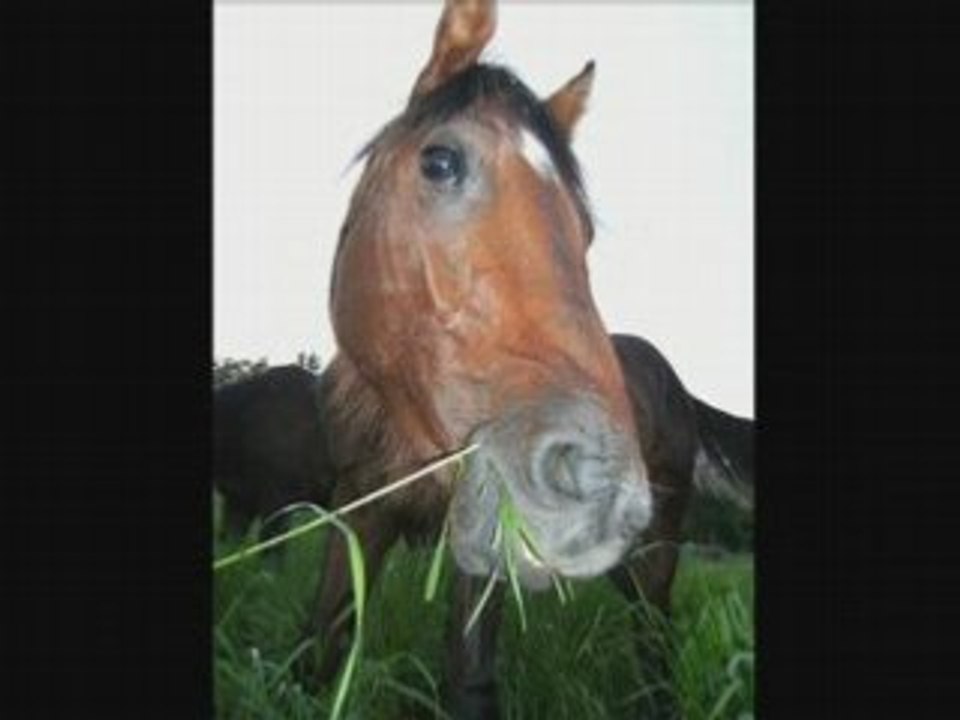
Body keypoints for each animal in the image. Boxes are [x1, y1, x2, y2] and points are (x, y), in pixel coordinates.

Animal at [287, 2, 752, 716]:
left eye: (582, 229)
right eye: (440, 161)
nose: (589, 478)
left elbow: (469, 676)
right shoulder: (358, 506)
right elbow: (320, 642)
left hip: (659, 554)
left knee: (654, 640)